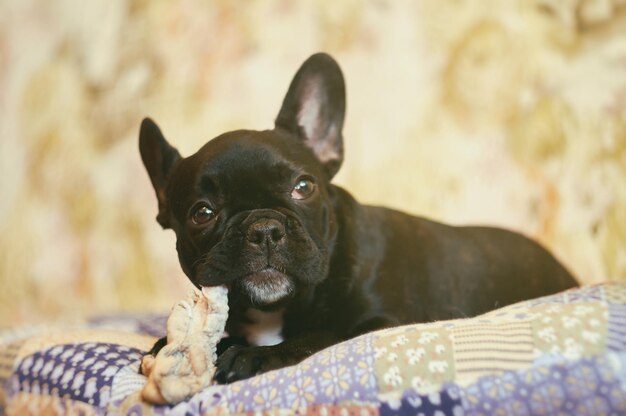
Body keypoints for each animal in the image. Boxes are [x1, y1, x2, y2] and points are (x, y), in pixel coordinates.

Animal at [138, 52, 576, 384]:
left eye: (303, 187)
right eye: (202, 213)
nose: (264, 229)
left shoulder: (383, 321)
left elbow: (328, 334)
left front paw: (256, 354)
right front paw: (171, 345)